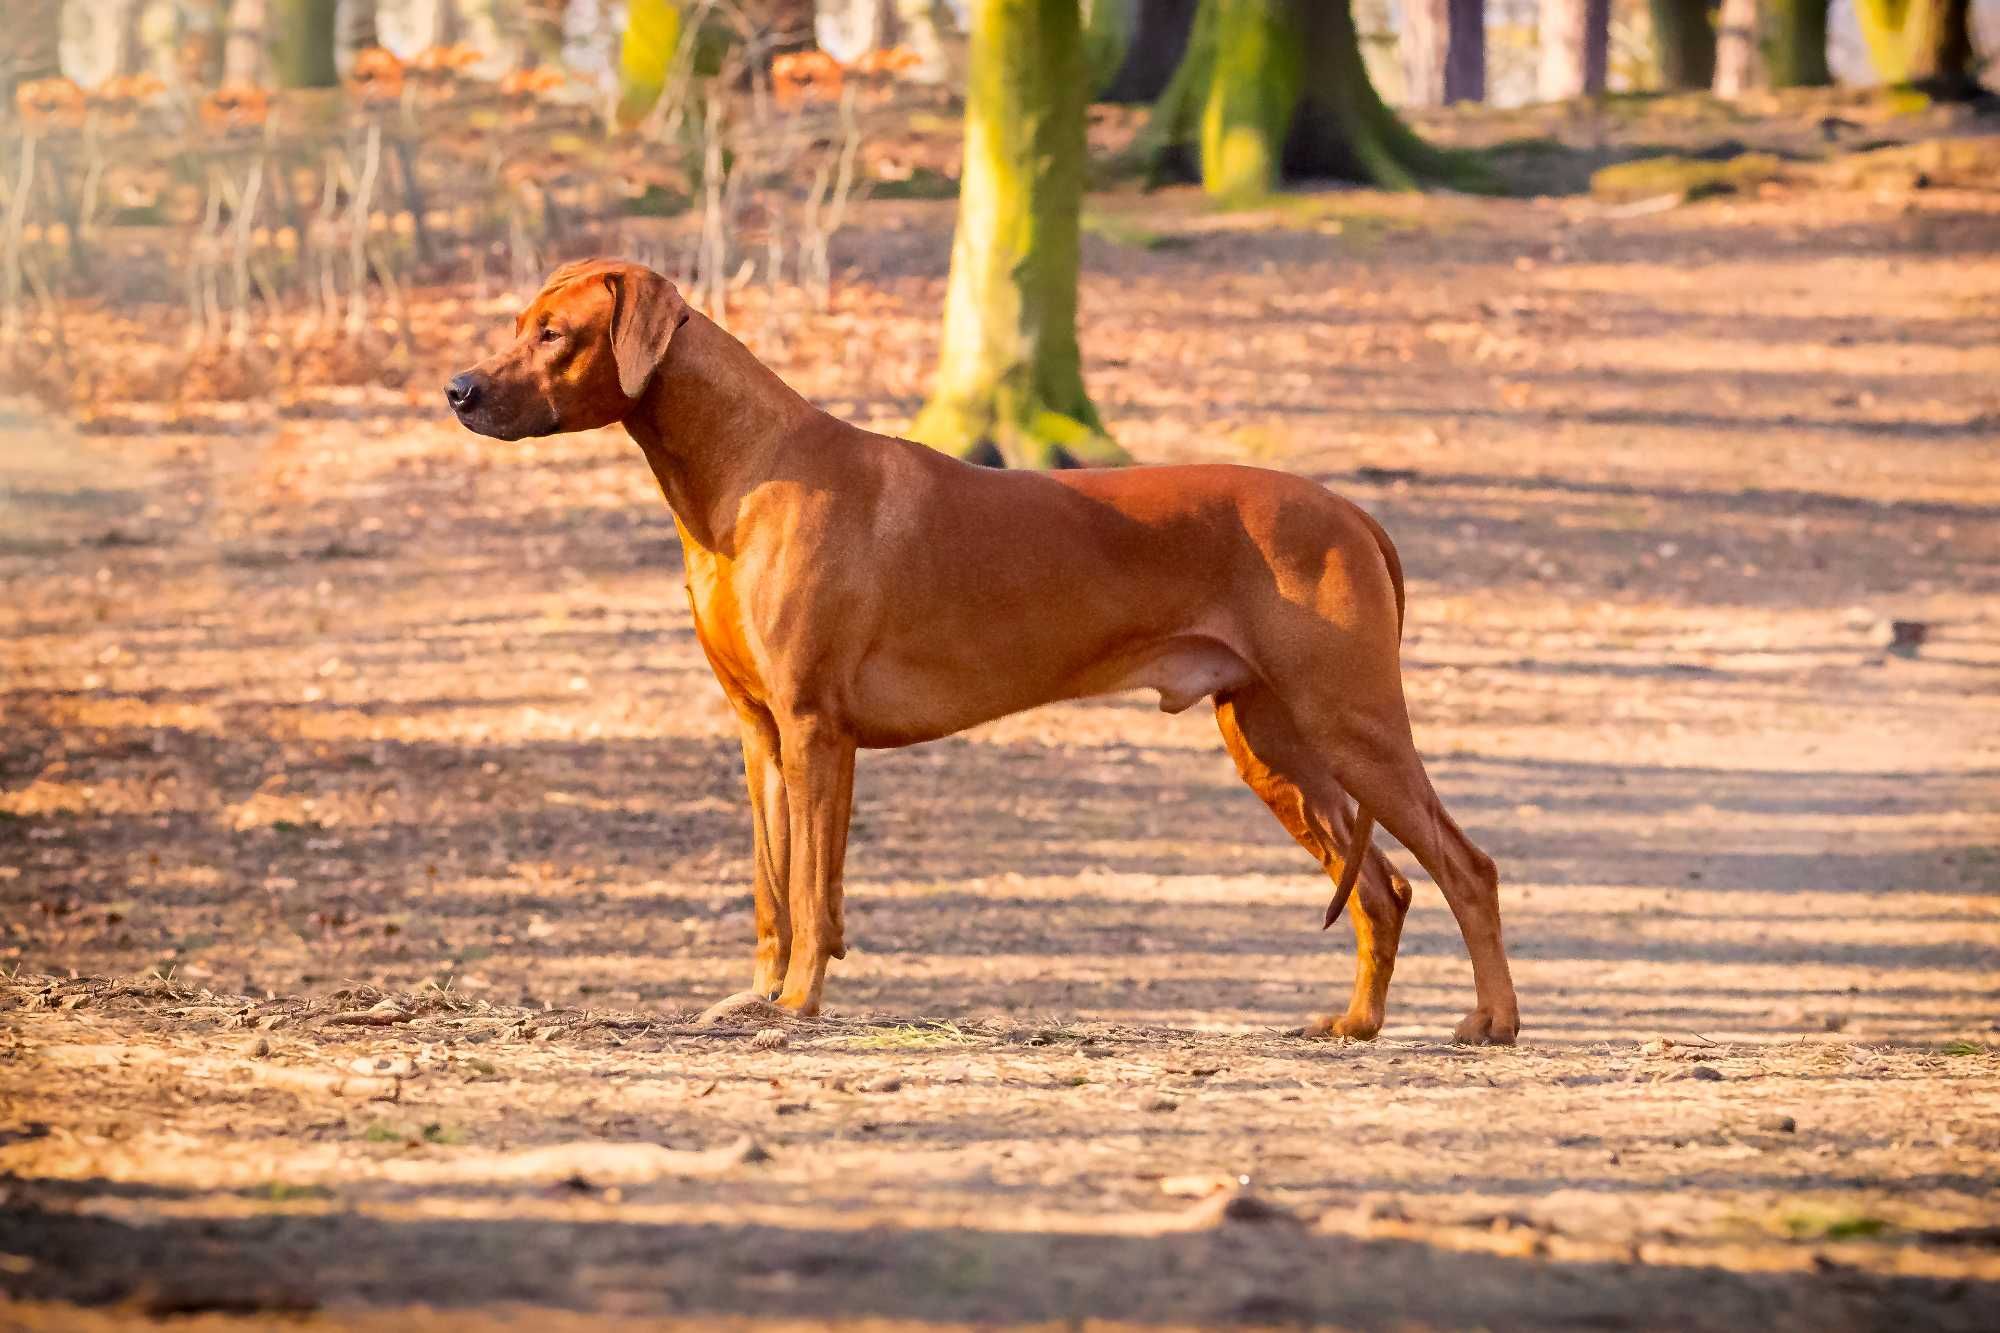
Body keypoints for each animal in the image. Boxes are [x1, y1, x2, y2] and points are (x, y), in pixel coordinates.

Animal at [450, 254, 1512, 1032]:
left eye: (552, 333)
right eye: (516, 324)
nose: (457, 388)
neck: (747, 469)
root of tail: (1355, 512)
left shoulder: (813, 727)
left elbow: (813, 889)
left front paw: (798, 1001)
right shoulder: (759, 731)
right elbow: (772, 886)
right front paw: (755, 996)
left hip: (1352, 723)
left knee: (1466, 866)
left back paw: (1491, 1022)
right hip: (1274, 741)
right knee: (1383, 888)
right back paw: (1357, 1023)